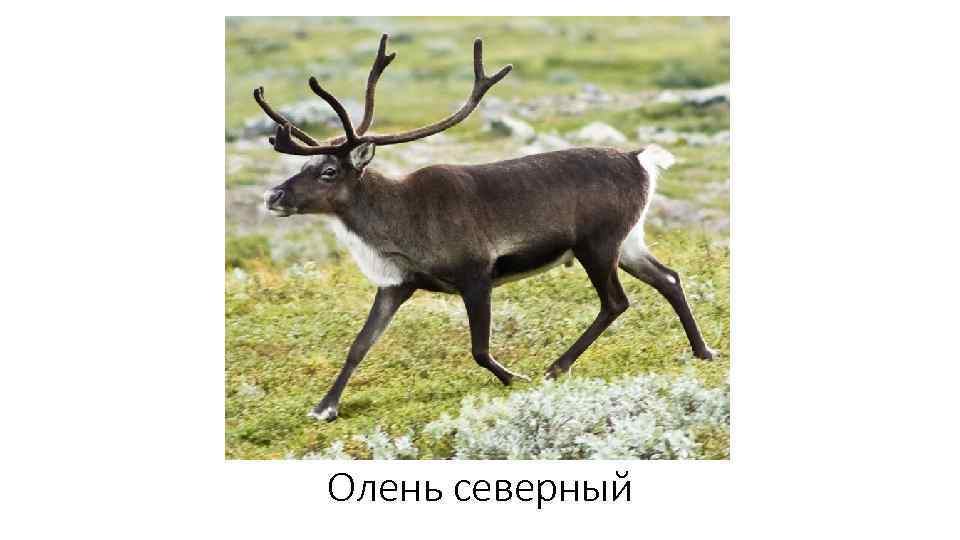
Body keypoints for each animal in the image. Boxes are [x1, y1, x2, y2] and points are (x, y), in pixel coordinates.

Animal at [253, 34, 715, 422]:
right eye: (305, 166)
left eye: (328, 171)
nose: (273, 196)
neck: (397, 222)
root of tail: (641, 159)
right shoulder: (398, 284)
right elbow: (358, 345)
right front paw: (324, 407)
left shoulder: (476, 273)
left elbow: (478, 348)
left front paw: (516, 378)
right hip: (629, 241)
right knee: (669, 278)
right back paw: (703, 350)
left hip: (597, 244)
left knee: (616, 302)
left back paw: (556, 367)